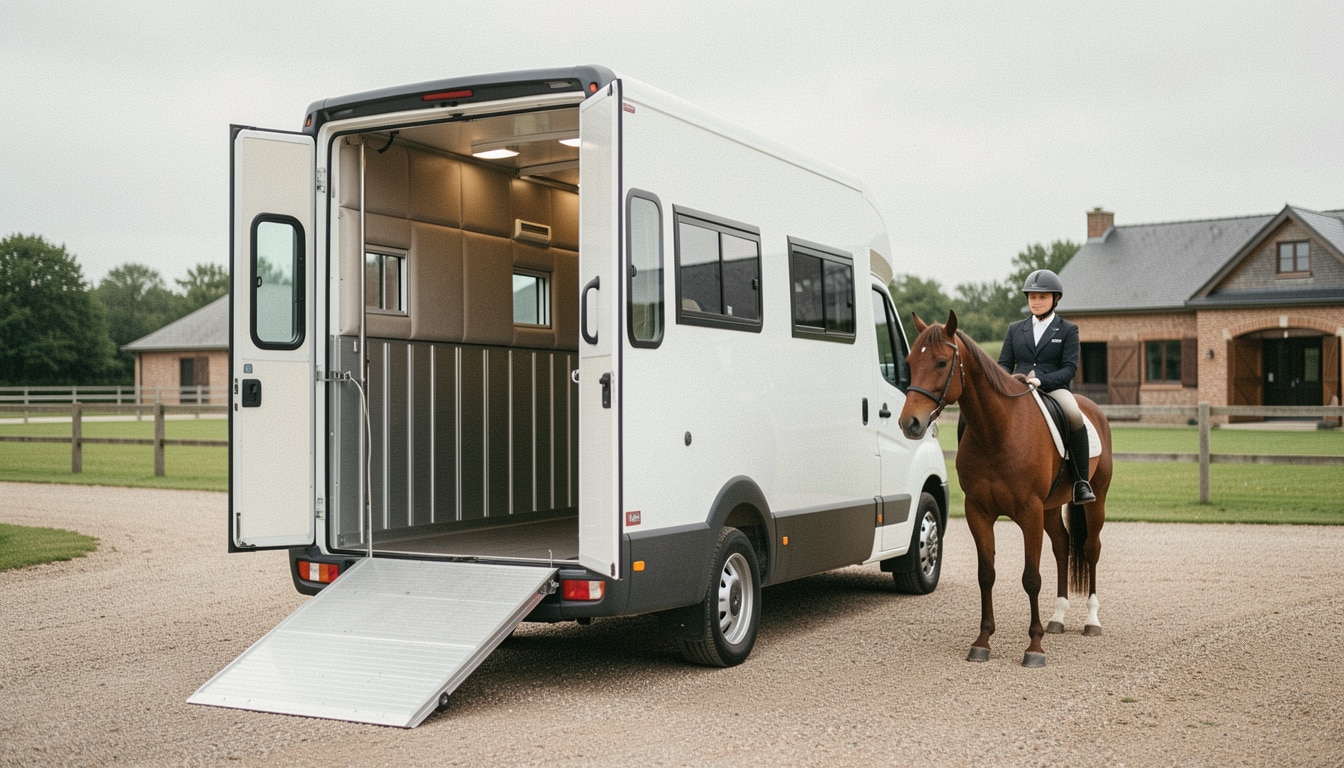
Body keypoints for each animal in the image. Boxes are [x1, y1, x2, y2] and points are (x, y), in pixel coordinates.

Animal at [898, 311, 1113, 667]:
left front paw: (1034, 648)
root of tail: (1092, 409)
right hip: (1051, 507)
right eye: (910, 361)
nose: (909, 423)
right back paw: (1058, 618)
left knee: (1091, 548)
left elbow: (1031, 578)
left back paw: (1091, 621)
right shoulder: (979, 512)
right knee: (1063, 546)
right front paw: (982, 641)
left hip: (1094, 501)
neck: (998, 431)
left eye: (942, 363)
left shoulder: (1029, 512)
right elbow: (986, 574)